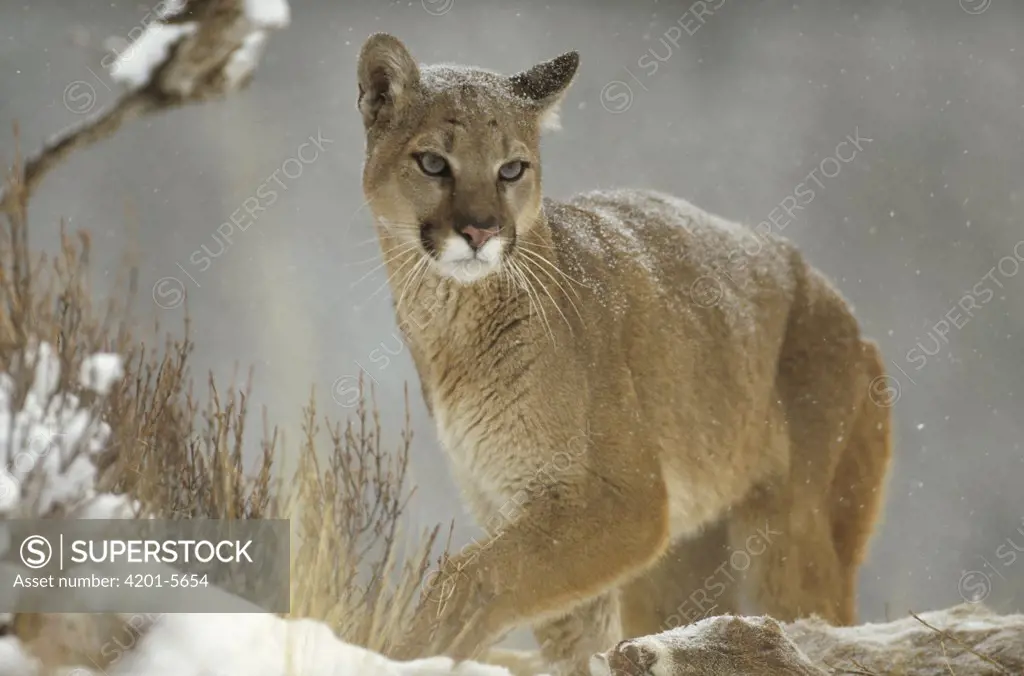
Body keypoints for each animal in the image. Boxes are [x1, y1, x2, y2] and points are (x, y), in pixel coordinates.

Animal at [356, 34, 892, 676]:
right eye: (434, 163)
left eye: (512, 169)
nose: (481, 231)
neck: (453, 322)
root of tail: (842, 308)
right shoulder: (515, 501)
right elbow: (559, 627)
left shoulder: (626, 501)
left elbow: (473, 571)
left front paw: (411, 647)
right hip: (681, 567)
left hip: (791, 531)